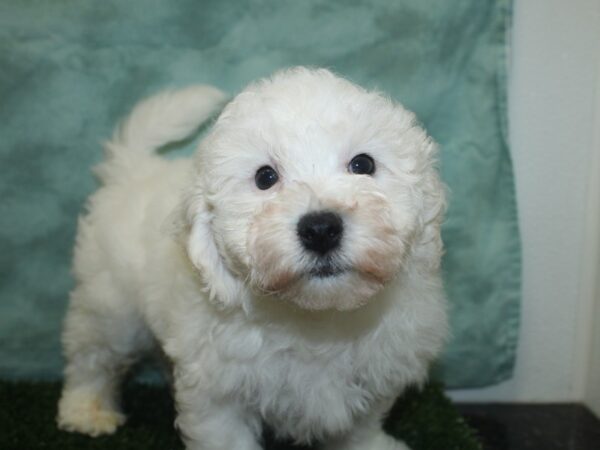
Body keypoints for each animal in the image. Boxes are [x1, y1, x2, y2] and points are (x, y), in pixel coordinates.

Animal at [58, 67, 448, 450]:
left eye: (363, 164)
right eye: (265, 177)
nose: (320, 229)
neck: (314, 317)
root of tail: (134, 170)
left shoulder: (375, 371)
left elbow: (360, 427)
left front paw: (370, 445)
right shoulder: (218, 392)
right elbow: (225, 435)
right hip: (111, 304)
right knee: (93, 356)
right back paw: (86, 410)